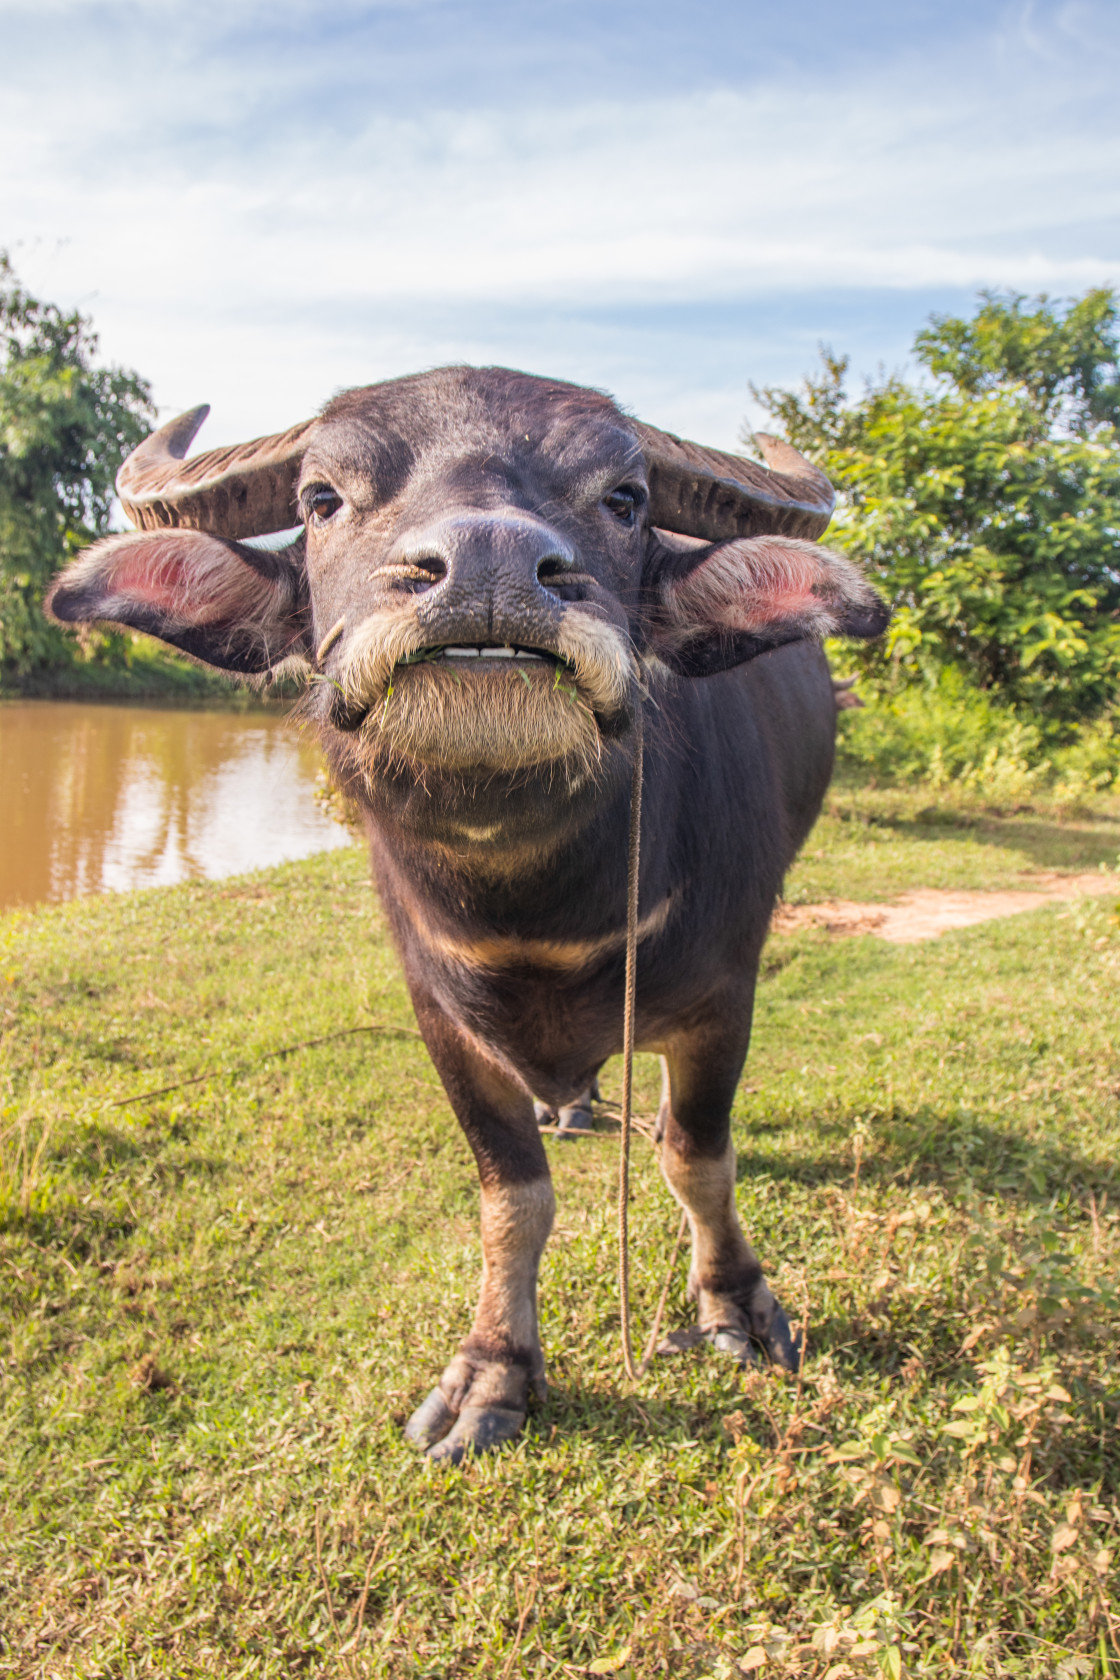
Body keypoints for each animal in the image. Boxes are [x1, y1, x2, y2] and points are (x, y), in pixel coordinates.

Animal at [48, 367, 886, 1458]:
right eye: (321, 498)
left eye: (626, 498)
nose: (489, 563)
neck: (537, 913)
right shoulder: (441, 1018)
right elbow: (511, 1197)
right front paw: (495, 1369)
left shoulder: (722, 999)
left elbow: (699, 1158)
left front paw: (736, 1304)